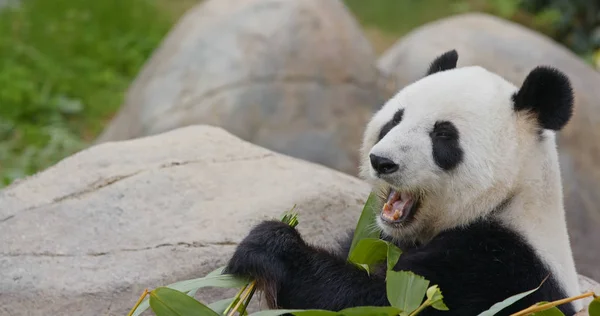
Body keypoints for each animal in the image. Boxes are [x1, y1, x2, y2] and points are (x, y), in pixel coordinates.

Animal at [224, 50, 580, 314]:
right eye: (395, 119)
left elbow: (386, 301)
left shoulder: (497, 271)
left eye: (443, 135)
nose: (382, 161)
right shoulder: (376, 237)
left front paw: (270, 244)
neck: (508, 201)